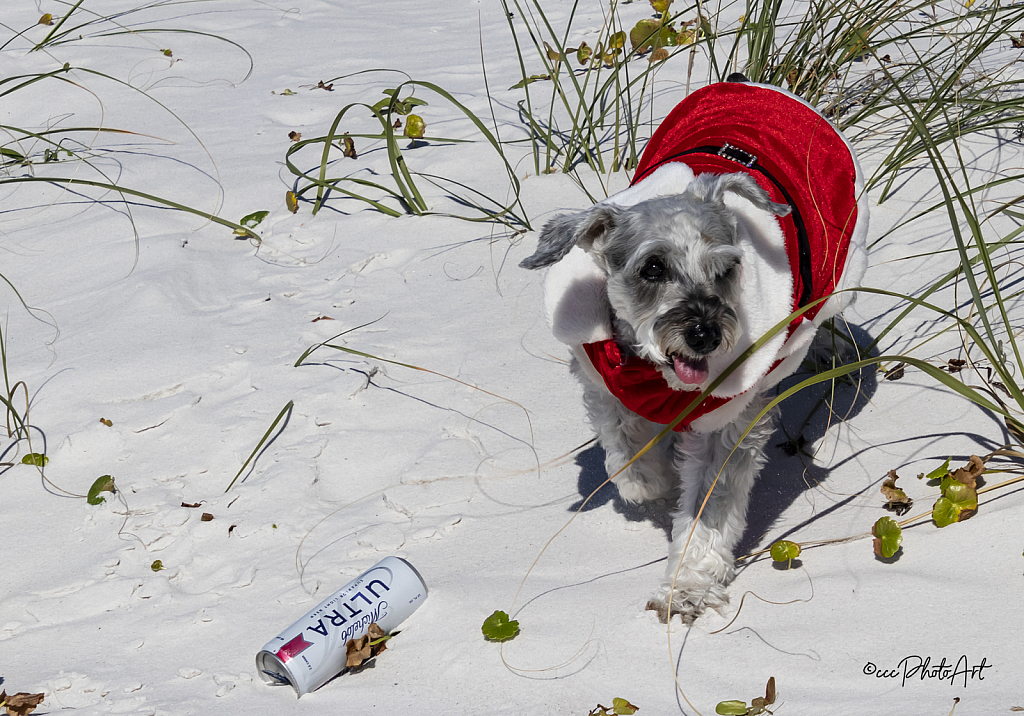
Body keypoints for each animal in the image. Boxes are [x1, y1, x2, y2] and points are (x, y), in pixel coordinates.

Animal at [520, 174, 790, 622]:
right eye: (653, 268)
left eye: (727, 268)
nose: (706, 334)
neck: (657, 378)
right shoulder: (602, 384)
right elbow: (627, 455)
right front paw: (655, 477)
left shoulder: (726, 422)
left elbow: (707, 512)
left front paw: (688, 587)